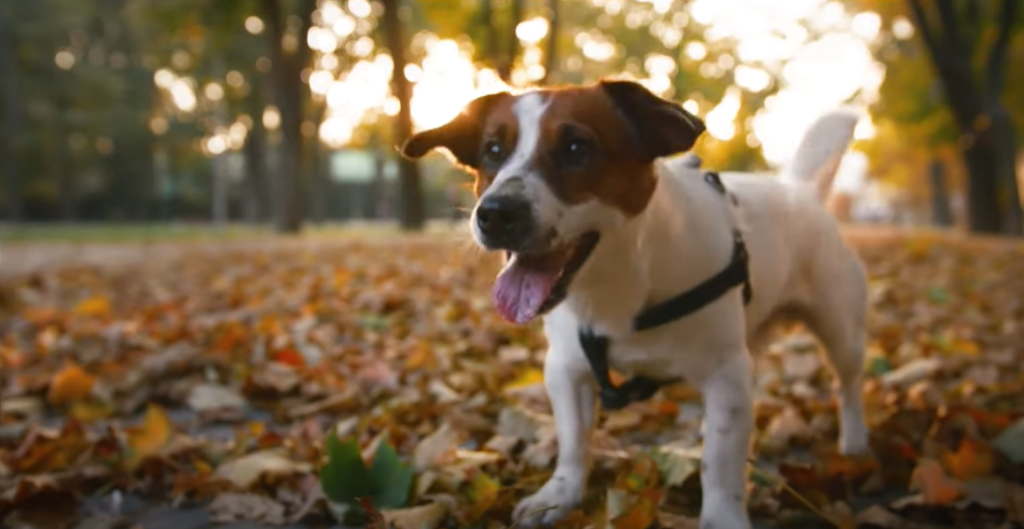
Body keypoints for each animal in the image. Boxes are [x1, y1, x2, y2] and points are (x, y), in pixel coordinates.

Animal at [399, 79, 864, 527]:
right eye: (493, 150)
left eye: (576, 148)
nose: (495, 213)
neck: (617, 286)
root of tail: (800, 191)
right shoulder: (565, 369)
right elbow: (573, 440)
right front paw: (560, 494)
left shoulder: (726, 375)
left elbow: (720, 463)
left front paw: (723, 517)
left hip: (841, 332)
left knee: (846, 386)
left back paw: (855, 440)